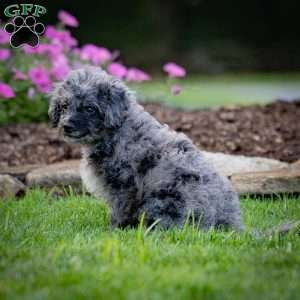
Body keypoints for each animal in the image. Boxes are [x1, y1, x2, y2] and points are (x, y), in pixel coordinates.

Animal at [48, 66, 243, 230]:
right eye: (65, 106)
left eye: (90, 108)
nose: (66, 126)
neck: (117, 130)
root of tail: (231, 225)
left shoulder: (123, 184)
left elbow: (119, 210)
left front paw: (114, 230)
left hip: (165, 200)